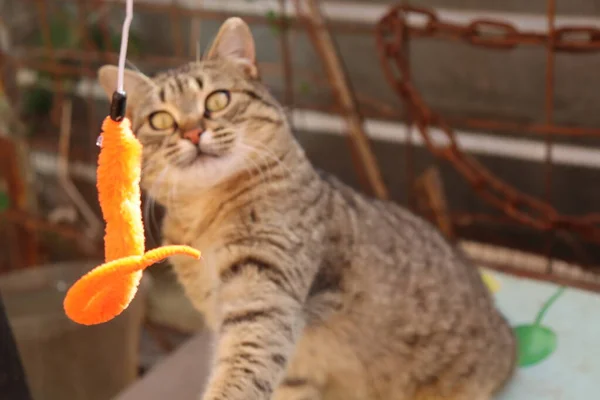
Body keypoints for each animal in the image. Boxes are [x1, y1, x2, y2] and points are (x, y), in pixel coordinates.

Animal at [98, 16, 516, 400]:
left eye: (218, 99)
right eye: (160, 119)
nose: (192, 132)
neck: (207, 215)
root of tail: (505, 332)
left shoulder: (264, 295)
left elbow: (243, 366)